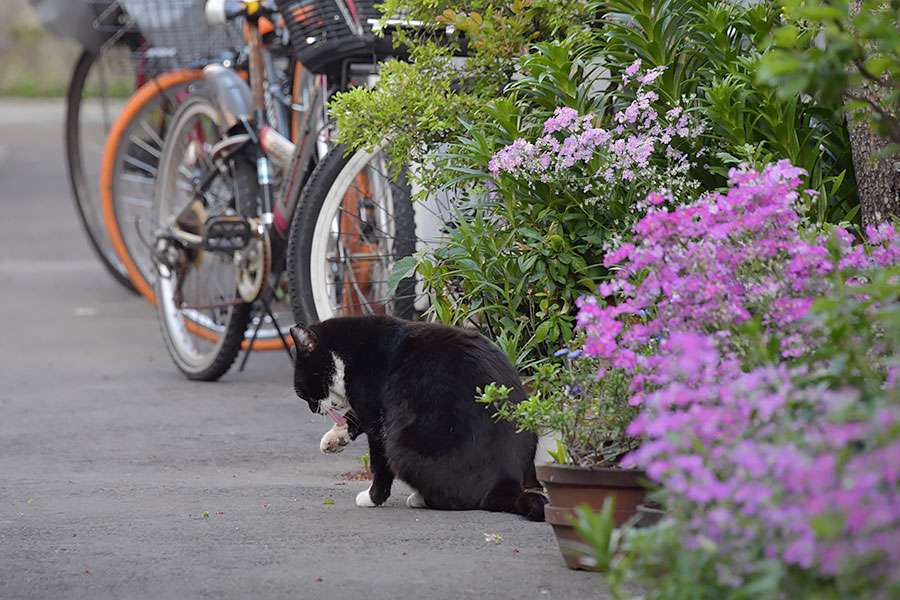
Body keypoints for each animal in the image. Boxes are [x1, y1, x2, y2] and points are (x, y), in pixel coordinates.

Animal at [292, 314, 544, 520]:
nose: (312, 409)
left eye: (304, 392)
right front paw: (335, 438)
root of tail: (508, 482)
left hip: (402, 445)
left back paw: (419, 498)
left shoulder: (376, 414)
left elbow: (379, 464)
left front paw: (373, 498)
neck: (350, 353)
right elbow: (352, 416)